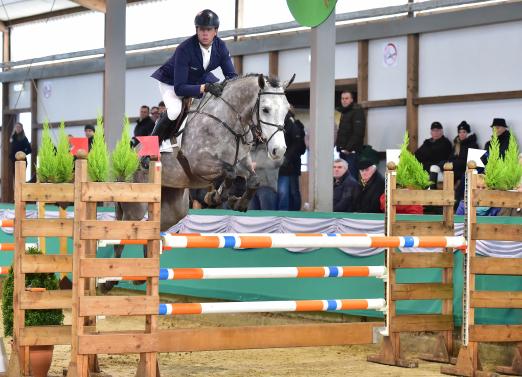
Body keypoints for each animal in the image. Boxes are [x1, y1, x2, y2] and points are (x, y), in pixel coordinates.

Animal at [99, 72, 292, 290]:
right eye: (265, 109)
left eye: (287, 110)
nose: (279, 151)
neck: (229, 122)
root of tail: (124, 160)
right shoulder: (199, 163)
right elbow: (229, 172)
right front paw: (217, 196)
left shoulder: (242, 162)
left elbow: (253, 179)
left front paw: (235, 201)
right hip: (135, 207)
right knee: (124, 232)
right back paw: (109, 280)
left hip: (174, 208)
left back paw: (141, 274)